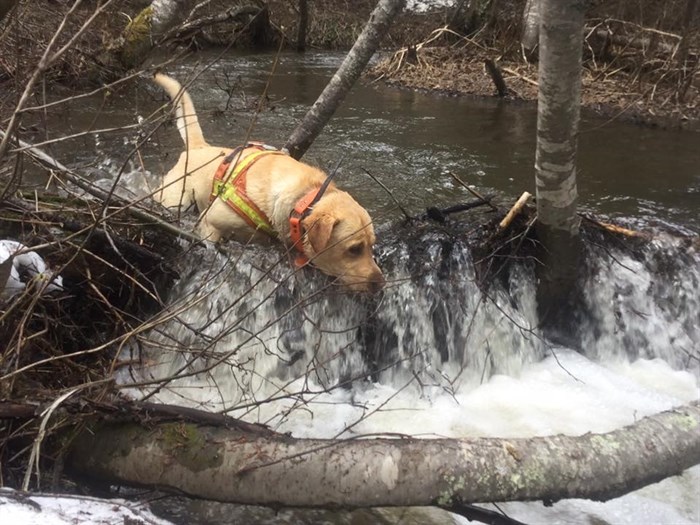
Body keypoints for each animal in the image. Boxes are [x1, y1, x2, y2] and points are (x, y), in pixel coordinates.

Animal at [153, 73, 386, 292]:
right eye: (354, 249)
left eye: (372, 246)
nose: (381, 284)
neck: (303, 200)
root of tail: (199, 147)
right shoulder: (211, 223)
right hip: (173, 200)